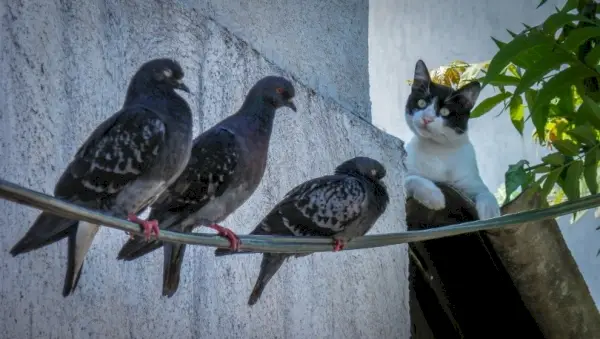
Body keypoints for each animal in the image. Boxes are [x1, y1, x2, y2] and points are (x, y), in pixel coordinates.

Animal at [404, 59, 502, 220]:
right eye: (421, 103)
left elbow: (485, 192)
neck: (437, 149)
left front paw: (491, 212)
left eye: (445, 111)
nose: (427, 118)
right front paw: (434, 195)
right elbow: (411, 178)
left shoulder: (469, 179)